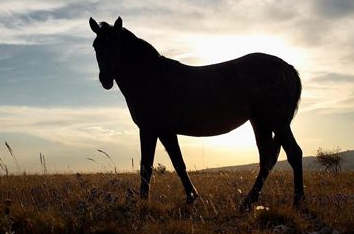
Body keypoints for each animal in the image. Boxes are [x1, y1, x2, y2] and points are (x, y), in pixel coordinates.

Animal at [89, 16, 304, 210]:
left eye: (116, 45)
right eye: (96, 46)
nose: (105, 79)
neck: (151, 77)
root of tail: (288, 68)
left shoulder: (149, 130)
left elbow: (146, 166)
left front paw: (143, 202)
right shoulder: (165, 131)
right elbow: (178, 164)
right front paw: (191, 197)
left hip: (277, 121)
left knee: (294, 153)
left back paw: (297, 202)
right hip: (260, 122)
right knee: (266, 159)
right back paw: (248, 201)